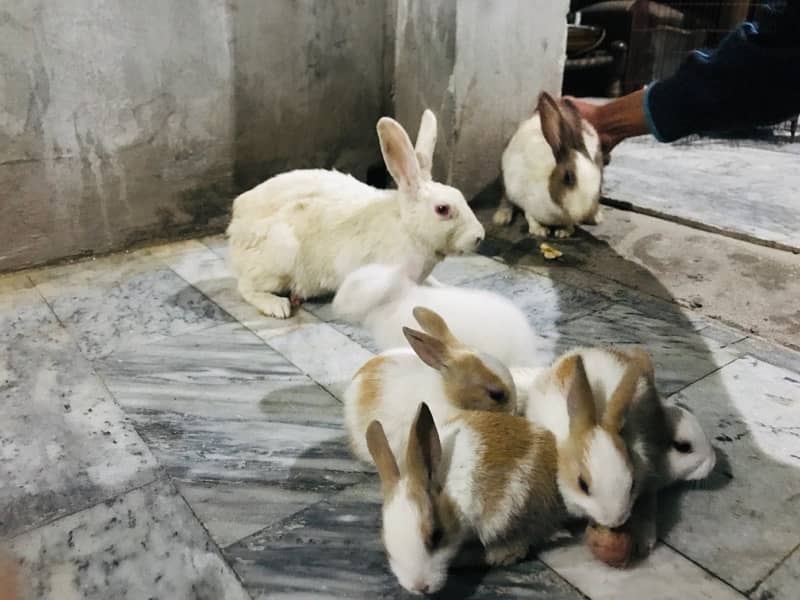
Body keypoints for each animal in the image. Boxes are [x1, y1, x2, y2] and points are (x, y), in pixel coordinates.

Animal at [228, 111, 484, 318]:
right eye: (443, 209)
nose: (479, 236)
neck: (408, 229)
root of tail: (236, 225)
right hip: (280, 253)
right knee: (246, 287)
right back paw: (277, 306)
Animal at [490, 91, 604, 237]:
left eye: (599, 183)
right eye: (568, 178)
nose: (586, 214)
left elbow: (569, 224)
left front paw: (564, 232)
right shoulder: (528, 201)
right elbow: (530, 217)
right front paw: (539, 231)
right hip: (506, 179)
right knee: (506, 198)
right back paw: (501, 217)